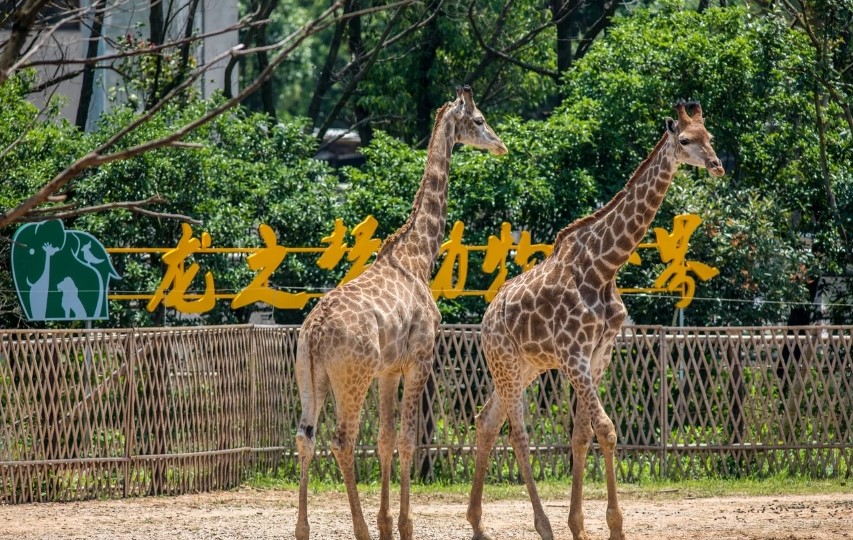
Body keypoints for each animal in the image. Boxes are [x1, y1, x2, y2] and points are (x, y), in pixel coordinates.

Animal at [292, 85, 506, 540]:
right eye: (479, 120)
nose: (501, 146)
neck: (418, 256)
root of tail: (315, 332)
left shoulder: (389, 370)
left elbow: (387, 439)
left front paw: (387, 522)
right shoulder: (420, 358)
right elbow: (408, 439)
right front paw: (403, 524)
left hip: (310, 375)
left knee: (306, 436)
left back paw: (303, 529)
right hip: (351, 378)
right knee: (342, 440)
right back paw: (358, 528)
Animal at [462, 101, 724, 540]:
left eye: (711, 137)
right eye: (686, 140)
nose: (718, 165)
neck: (604, 267)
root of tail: (486, 319)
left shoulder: (600, 353)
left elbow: (583, 433)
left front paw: (581, 526)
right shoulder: (574, 354)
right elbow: (606, 428)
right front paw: (613, 526)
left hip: (524, 368)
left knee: (486, 421)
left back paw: (478, 524)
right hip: (506, 364)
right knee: (516, 433)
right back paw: (542, 526)